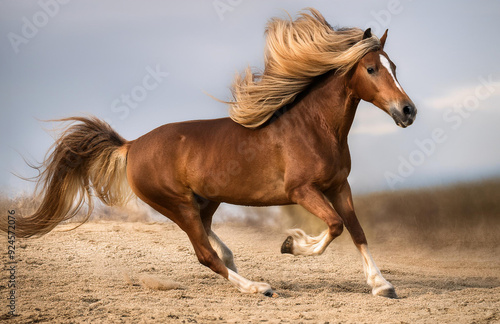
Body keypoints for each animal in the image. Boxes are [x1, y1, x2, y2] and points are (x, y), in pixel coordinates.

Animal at [8, 9, 414, 298]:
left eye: (395, 66)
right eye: (372, 68)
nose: (408, 111)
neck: (314, 128)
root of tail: (132, 145)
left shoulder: (339, 186)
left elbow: (356, 230)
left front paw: (382, 285)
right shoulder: (302, 190)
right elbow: (334, 226)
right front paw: (291, 244)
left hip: (206, 199)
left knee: (210, 239)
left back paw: (241, 267)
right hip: (177, 204)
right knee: (204, 252)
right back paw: (258, 287)